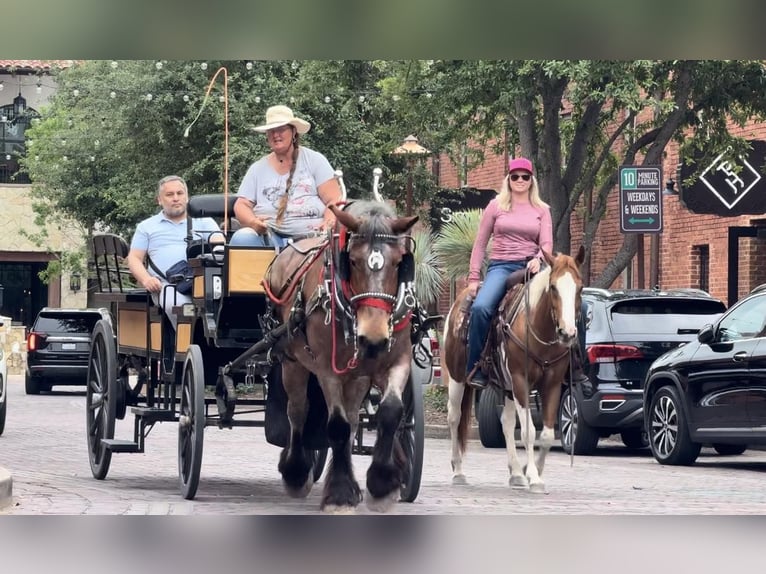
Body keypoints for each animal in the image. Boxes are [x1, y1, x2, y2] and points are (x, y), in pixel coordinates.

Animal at [264, 201, 420, 512]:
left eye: (399, 262)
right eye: (355, 261)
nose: (373, 339)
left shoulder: (398, 362)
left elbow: (390, 412)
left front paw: (382, 484)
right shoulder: (328, 370)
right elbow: (336, 426)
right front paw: (338, 493)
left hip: (357, 377)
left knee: (352, 420)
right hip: (293, 363)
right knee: (297, 411)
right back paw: (296, 472)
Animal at [440, 248, 584, 496]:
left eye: (580, 287)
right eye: (553, 287)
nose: (567, 333)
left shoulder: (552, 383)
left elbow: (546, 434)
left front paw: (531, 470)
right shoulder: (520, 380)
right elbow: (528, 431)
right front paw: (533, 476)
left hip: (506, 386)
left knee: (506, 423)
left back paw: (516, 473)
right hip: (458, 378)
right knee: (454, 417)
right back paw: (458, 471)